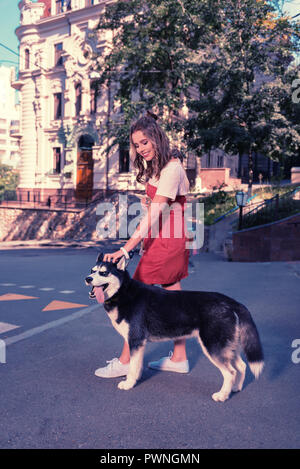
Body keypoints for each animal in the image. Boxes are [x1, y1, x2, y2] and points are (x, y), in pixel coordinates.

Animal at [85, 254, 264, 400]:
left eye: (104, 273)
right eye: (92, 270)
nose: (87, 278)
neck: (123, 292)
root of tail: (231, 302)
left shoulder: (135, 339)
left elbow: (133, 366)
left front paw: (128, 383)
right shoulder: (137, 343)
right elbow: (136, 365)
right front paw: (134, 378)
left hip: (213, 347)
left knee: (230, 372)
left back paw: (222, 395)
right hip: (228, 347)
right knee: (241, 366)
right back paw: (236, 388)